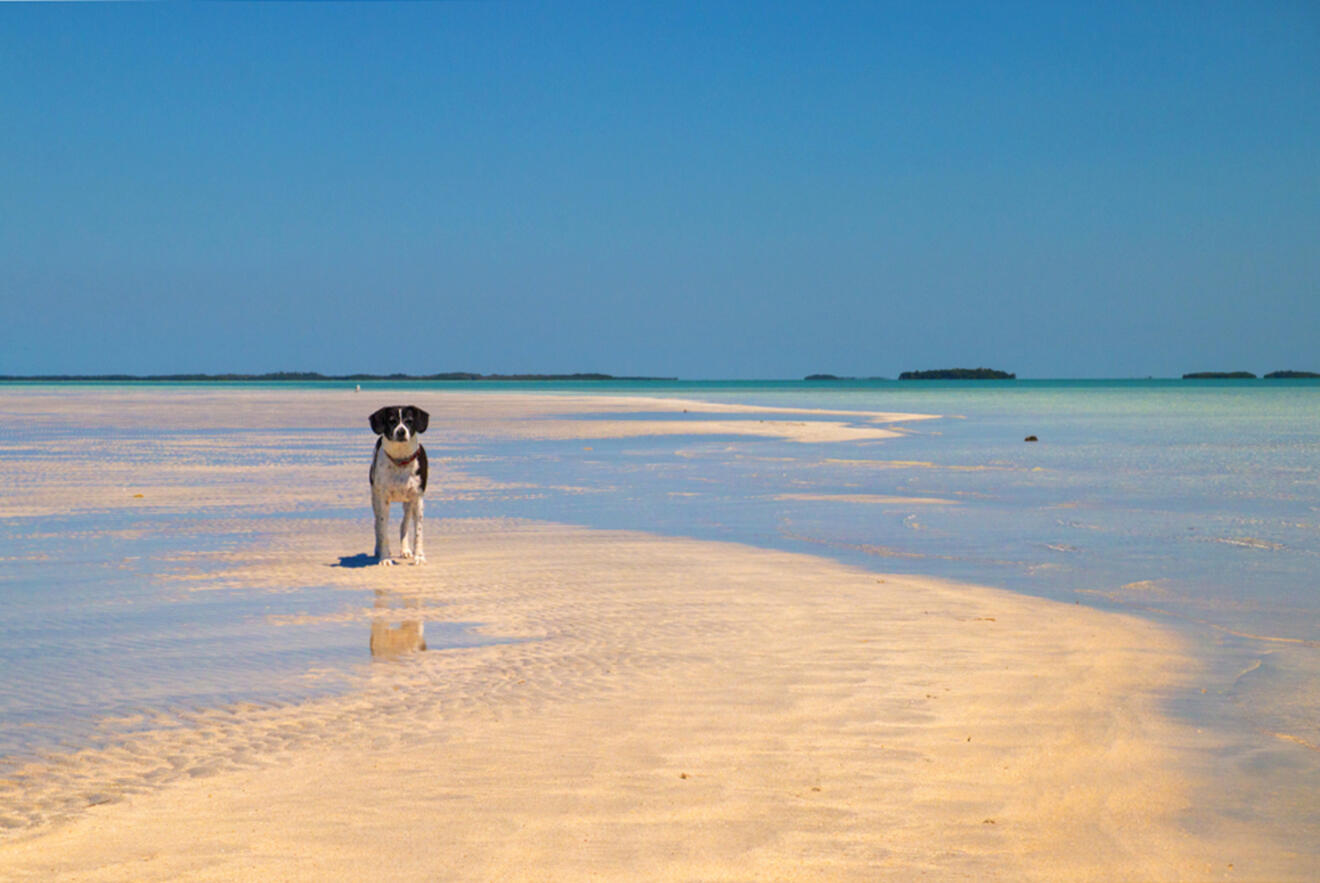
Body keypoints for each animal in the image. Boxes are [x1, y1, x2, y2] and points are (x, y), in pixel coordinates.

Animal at [369, 403, 430, 564]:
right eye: (392, 421)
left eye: (409, 421)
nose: (401, 431)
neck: (400, 460)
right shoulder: (383, 499)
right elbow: (383, 530)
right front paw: (385, 558)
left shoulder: (418, 498)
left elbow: (418, 532)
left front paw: (419, 556)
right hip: (375, 498)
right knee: (377, 525)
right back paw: (379, 550)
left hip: (409, 503)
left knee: (404, 524)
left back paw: (406, 550)